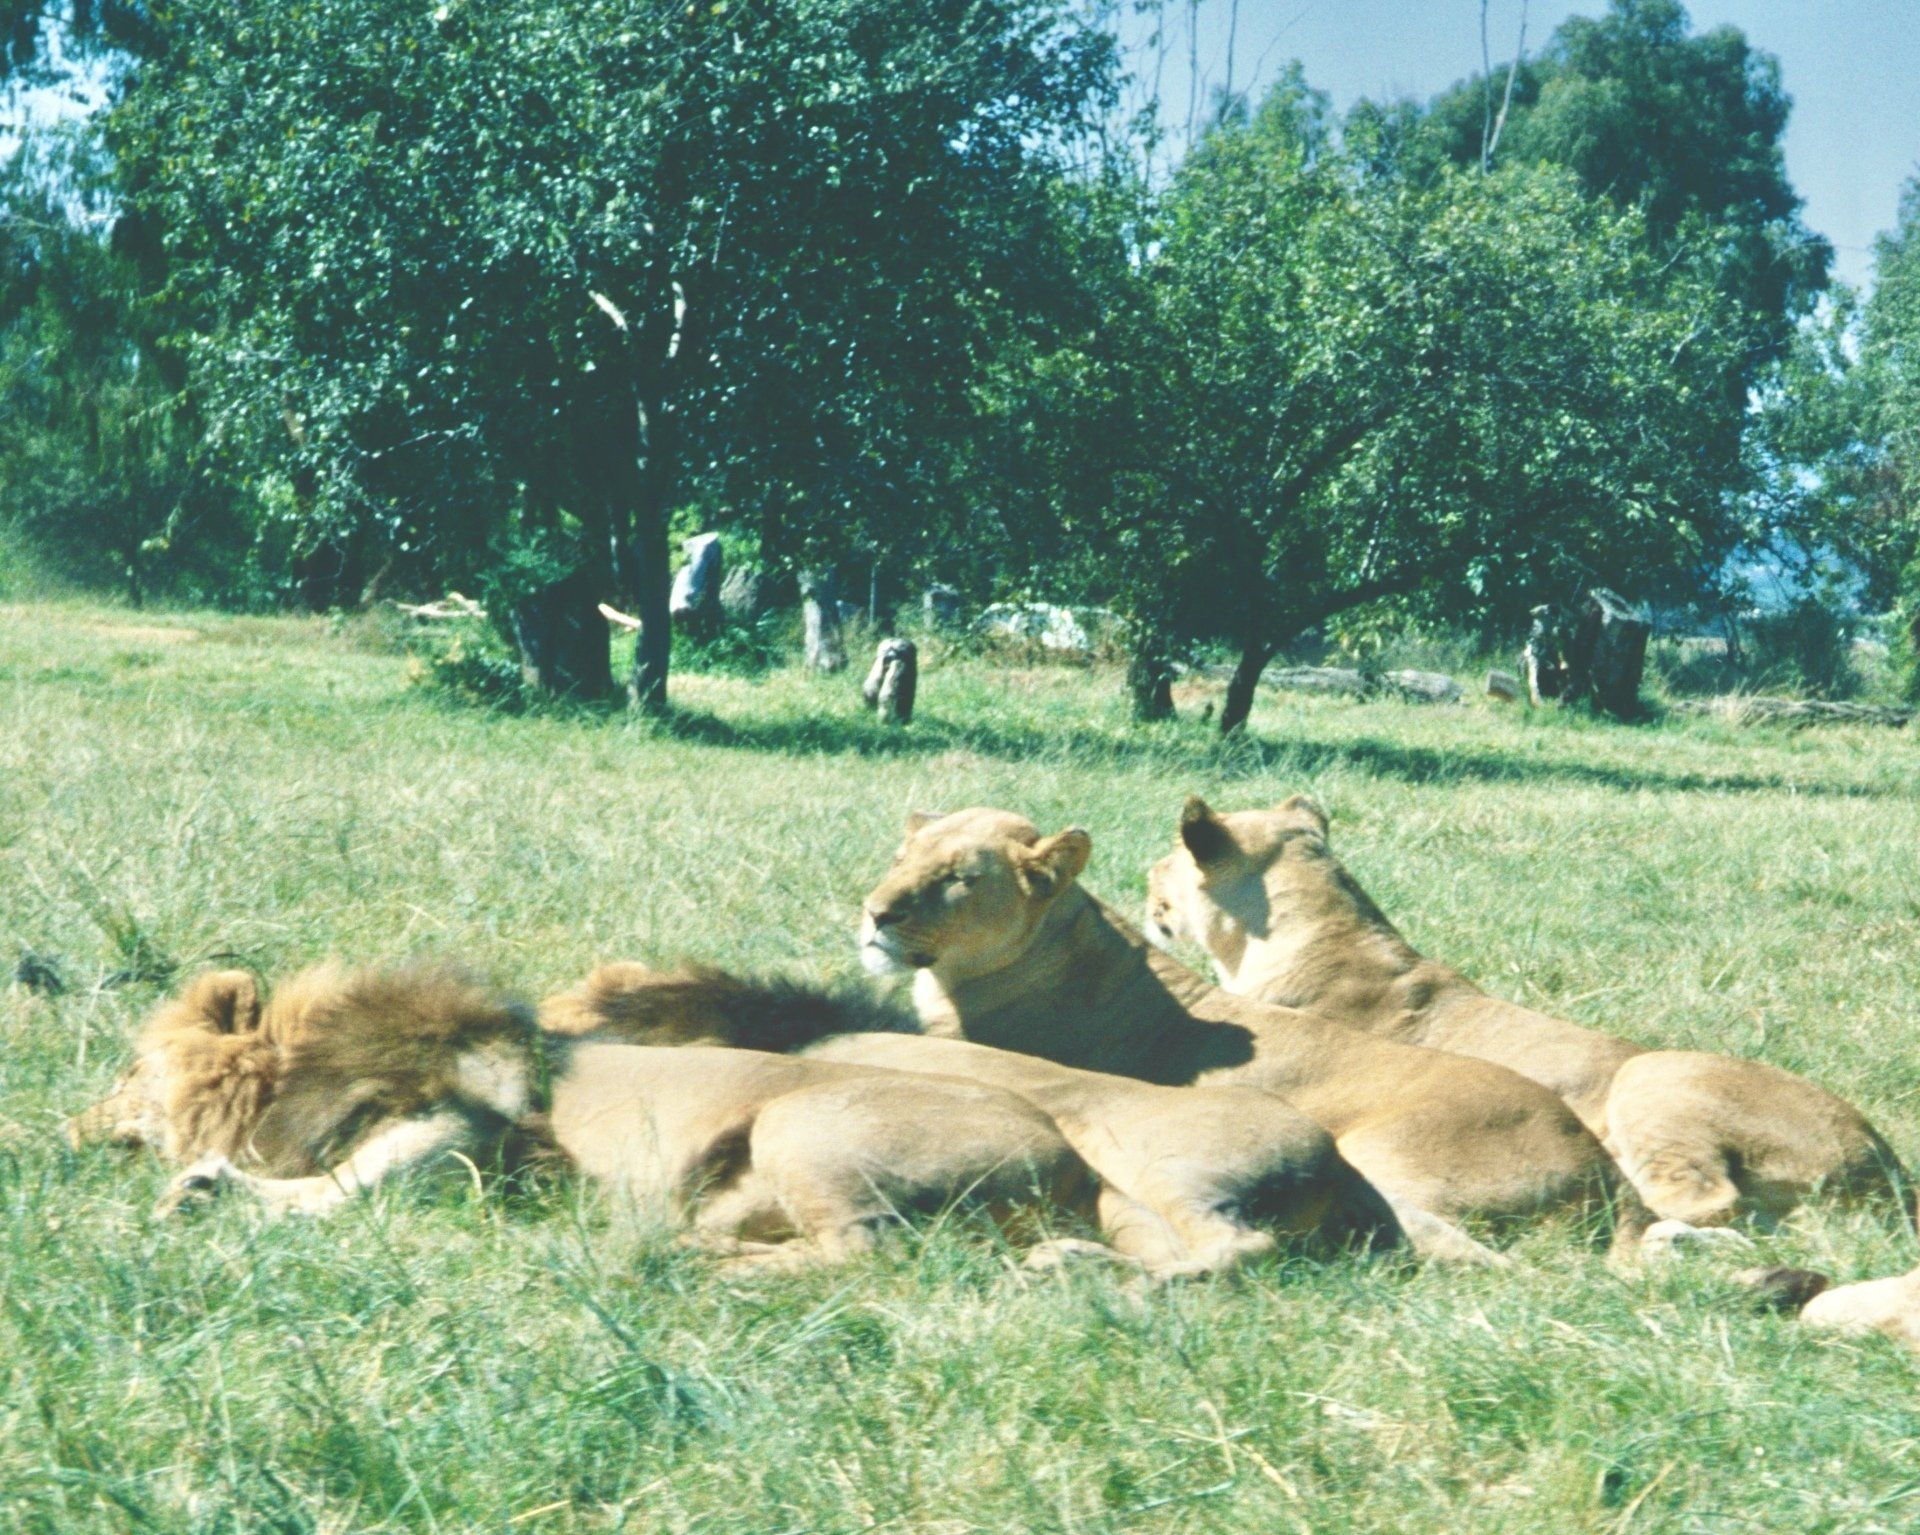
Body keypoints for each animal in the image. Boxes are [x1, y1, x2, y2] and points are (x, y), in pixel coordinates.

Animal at [1144, 796, 1913, 1237]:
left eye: (1165, 861)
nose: (1144, 874)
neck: (1322, 927)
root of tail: (1886, 1164)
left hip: (1654, 1074)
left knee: (1702, 1202)